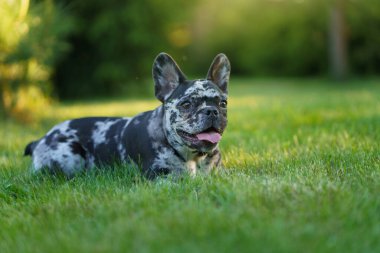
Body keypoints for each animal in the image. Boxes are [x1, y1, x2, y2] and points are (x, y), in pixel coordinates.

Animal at [25, 52, 232, 178]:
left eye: (223, 104)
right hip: (69, 154)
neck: (193, 158)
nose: (211, 111)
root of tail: (41, 139)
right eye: (186, 104)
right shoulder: (160, 176)